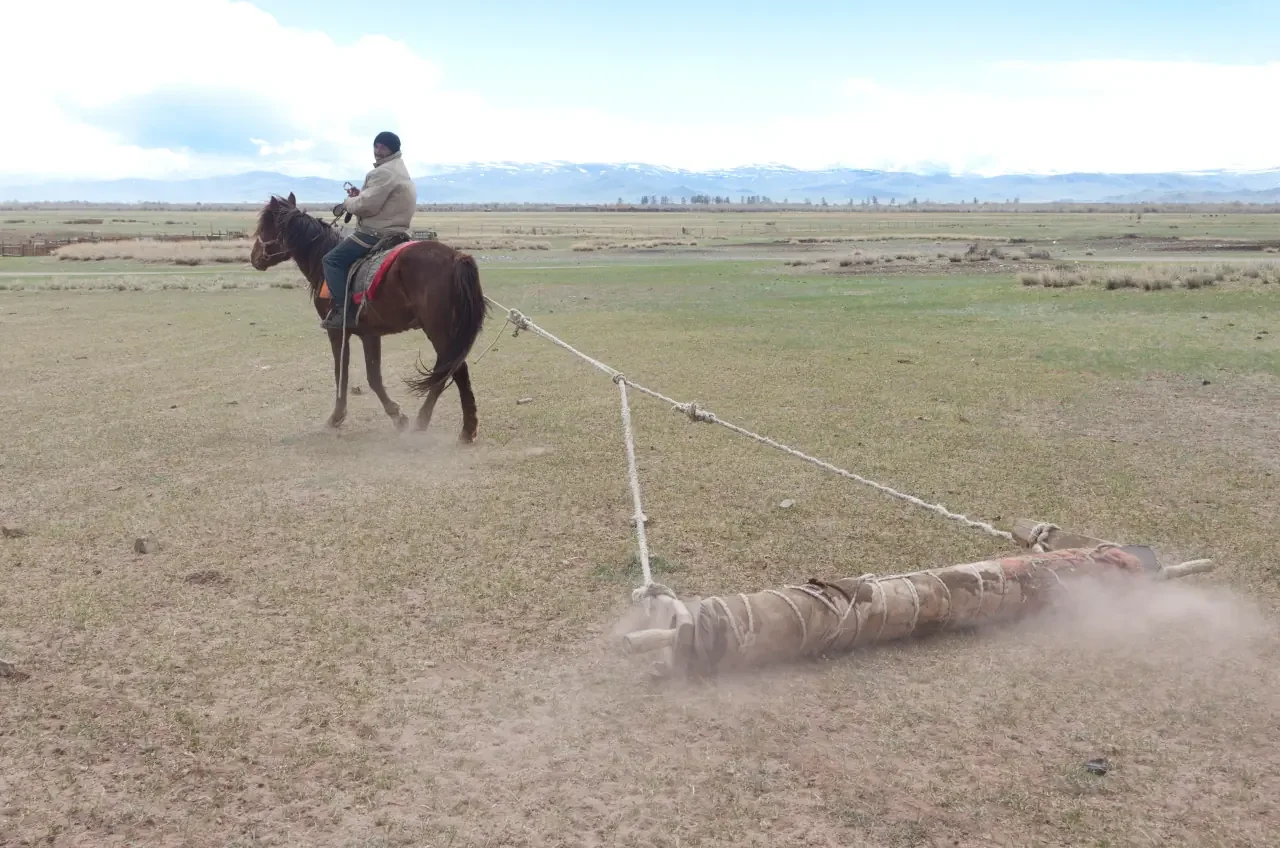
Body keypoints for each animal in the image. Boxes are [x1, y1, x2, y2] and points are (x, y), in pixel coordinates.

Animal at [249, 193, 488, 442]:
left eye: (265, 227)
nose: (254, 258)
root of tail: (458, 257)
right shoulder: (369, 334)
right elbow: (374, 376)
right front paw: (398, 417)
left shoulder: (337, 332)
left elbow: (342, 374)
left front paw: (337, 417)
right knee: (450, 369)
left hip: (439, 331)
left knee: (453, 370)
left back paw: (449, 427)